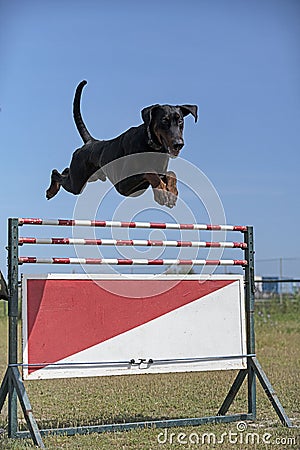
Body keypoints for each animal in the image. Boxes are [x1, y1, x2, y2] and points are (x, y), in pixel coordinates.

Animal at [45, 80, 198, 207]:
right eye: (164, 121)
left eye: (180, 121)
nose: (179, 144)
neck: (151, 145)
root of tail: (90, 142)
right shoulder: (123, 185)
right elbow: (148, 172)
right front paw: (161, 192)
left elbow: (171, 173)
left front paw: (171, 192)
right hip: (77, 182)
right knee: (57, 174)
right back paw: (51, 191)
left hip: (91, 177)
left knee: (66, 171)